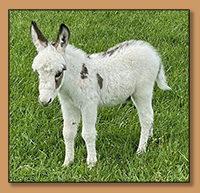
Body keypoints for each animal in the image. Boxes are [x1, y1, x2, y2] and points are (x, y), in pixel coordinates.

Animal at [29, 21, 170, 168]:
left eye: (58, 73)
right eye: (37, 72)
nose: (44, 101)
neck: (74, 79)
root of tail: (153, 52)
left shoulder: (89, 104)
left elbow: (88, 133)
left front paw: (91, 164)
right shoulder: (68, 105)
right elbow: (68, 132)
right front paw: (67, 163)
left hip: (142, 91)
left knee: (146, 118)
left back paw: (141, 151)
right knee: (150, 114)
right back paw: (150, 137)